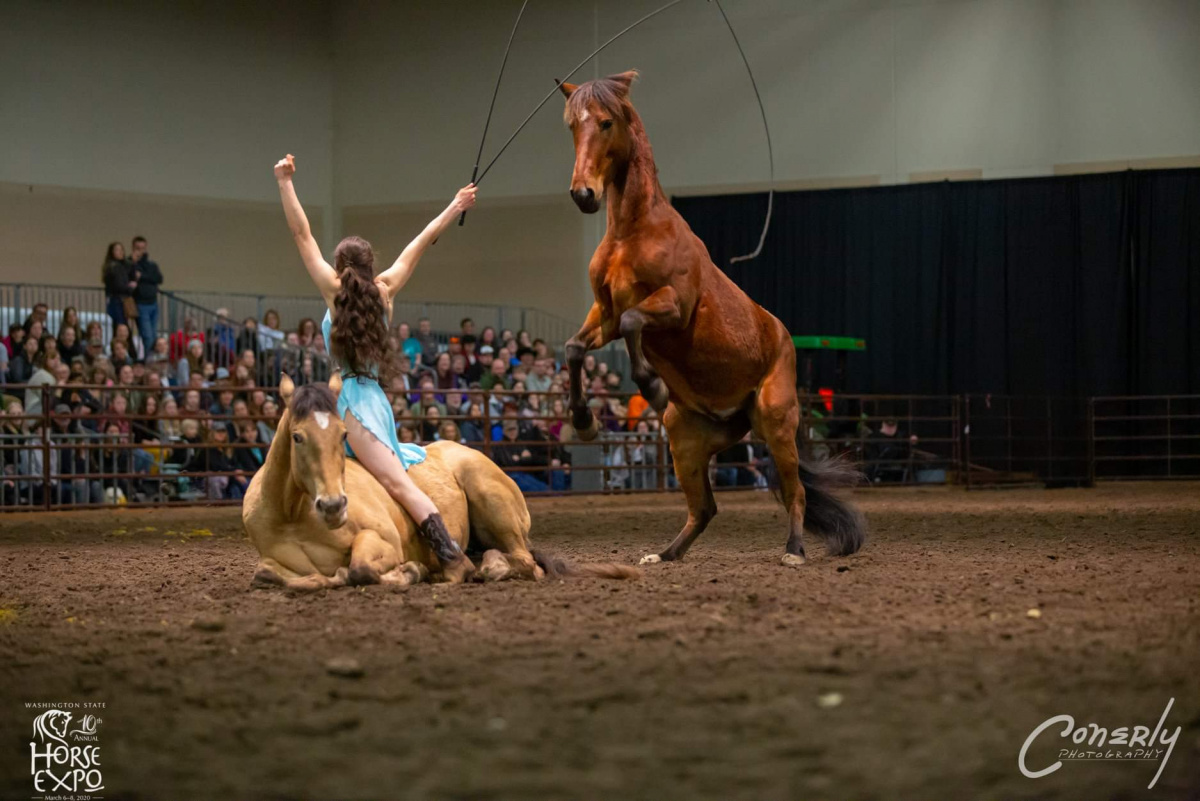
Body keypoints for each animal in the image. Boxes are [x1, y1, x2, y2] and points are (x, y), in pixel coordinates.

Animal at [243, 376, 638, 587]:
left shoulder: (382, 540)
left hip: (491, 501)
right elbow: (265, 573)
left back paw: (480, 566)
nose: (333, 506)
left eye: (343, 435)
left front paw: (409, 571)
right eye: (297, 437)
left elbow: (360, 569)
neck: (292, 514)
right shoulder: (273, 561)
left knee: (528, 563)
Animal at [561, 71, 864, 565]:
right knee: (704, 508)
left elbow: (633, 323)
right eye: (572, 125)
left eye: (606, 122)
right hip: (685, 440)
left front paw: (650, 385)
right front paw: (585, 421)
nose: (583, 194)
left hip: (776, 424)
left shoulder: (674, 307)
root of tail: (782, 335)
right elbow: (575, 346)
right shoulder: (602, 314)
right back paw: (664, 555)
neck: (634, 233)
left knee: (795, 493)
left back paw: (794, 551)